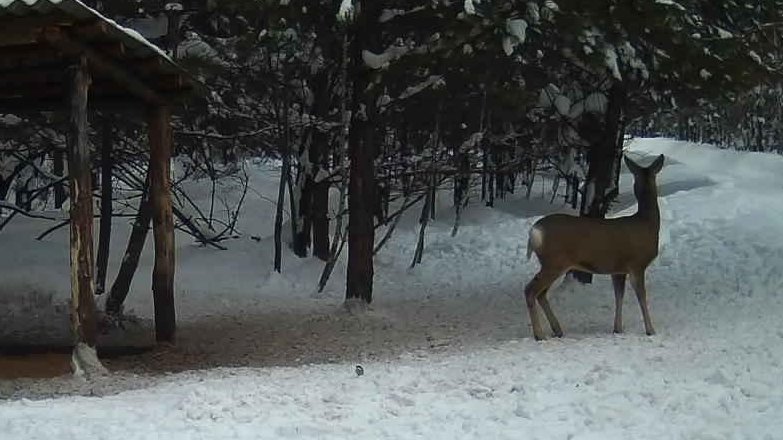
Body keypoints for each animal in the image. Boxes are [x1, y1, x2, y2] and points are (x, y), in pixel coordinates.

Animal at [524, 154, 664, 340]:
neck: (647, 224)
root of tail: (534, 232)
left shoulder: (618, 270)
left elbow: (619, 296)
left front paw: (617, 329)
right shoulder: (637, 264)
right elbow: (641, 297)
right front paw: (651, 330)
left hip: (550, 263)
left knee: (541, 293)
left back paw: (557, 330)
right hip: (555, 261)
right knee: (531, 290)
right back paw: (539, 334)